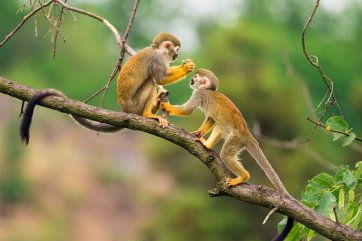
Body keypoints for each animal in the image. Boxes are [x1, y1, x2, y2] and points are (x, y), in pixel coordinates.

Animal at [19, 32, 195, 144]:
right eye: (176, 50)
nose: (176, 56)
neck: (158, 50)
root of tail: (125, 110)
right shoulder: (157, 59)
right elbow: (160, 78)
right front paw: (186, 68)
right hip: (135, 105)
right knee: (150, 82)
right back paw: (147, 114)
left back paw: (157, 104)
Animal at [161, 68, 294, 240]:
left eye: (196, 77)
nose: (191, 80)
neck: (208, 90)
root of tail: (247, 133)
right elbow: (211, 118)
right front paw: (198, 133)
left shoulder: (199, 94)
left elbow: (188, 110)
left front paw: (166, 105)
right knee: (219, 124)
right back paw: (207, 144)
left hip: (236, 139)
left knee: (225, 153)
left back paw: (243, 176)